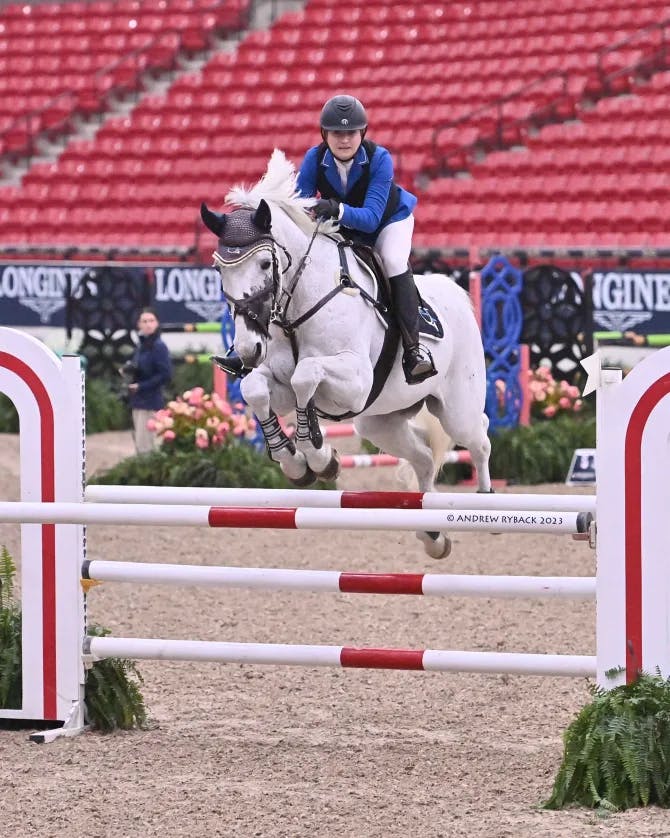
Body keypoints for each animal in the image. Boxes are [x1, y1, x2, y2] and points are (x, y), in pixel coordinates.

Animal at [201, 151, 494, 556]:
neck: (297, 309)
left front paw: (318, 456)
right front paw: (296, 463)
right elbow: (256, 389)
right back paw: (433, 534)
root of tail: (457, 294)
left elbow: (306, 374)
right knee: (422, 456)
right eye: (218, 268)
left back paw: (485, 503)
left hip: (455, 409)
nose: (247, 350)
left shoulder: (354, 383)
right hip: (378, 422)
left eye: (264, 263)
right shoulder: (280, 384)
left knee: (479, 437)